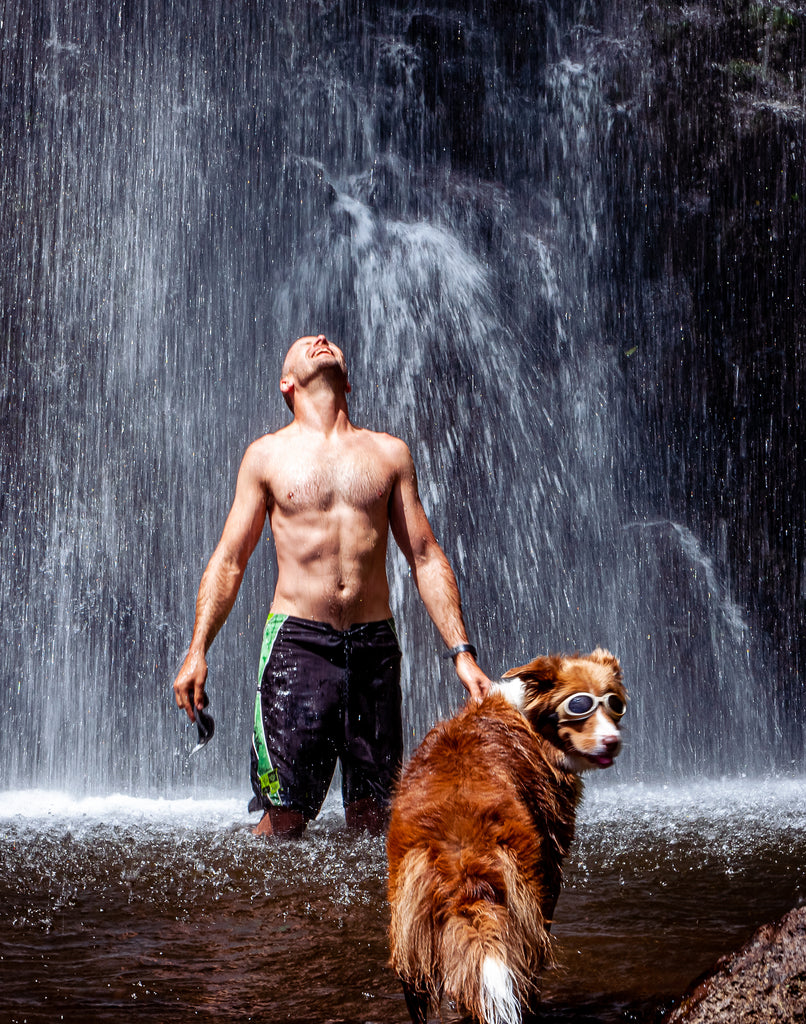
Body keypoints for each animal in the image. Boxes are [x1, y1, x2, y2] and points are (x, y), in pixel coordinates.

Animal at [387, 647, 626, 1024]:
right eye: (579, 705)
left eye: (614, 703)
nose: (612, 742)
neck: (527, 716)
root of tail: (460, 855)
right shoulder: (552, 854)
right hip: (526, 894)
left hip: (407, 922)